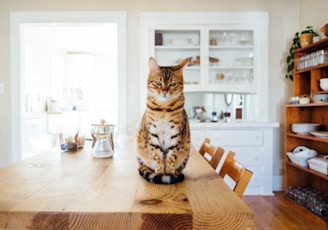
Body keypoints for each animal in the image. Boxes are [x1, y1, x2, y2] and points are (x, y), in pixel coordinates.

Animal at [136, 57, 191, 185]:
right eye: (158, 83)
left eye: (172, 84)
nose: (164, 91)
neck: (164, 109)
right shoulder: (153, 133)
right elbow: (157, 156)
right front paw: (160, 173)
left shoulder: (175, 134)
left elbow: (171, 156)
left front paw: (169, 174)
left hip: (186, 151)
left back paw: (175, 173)